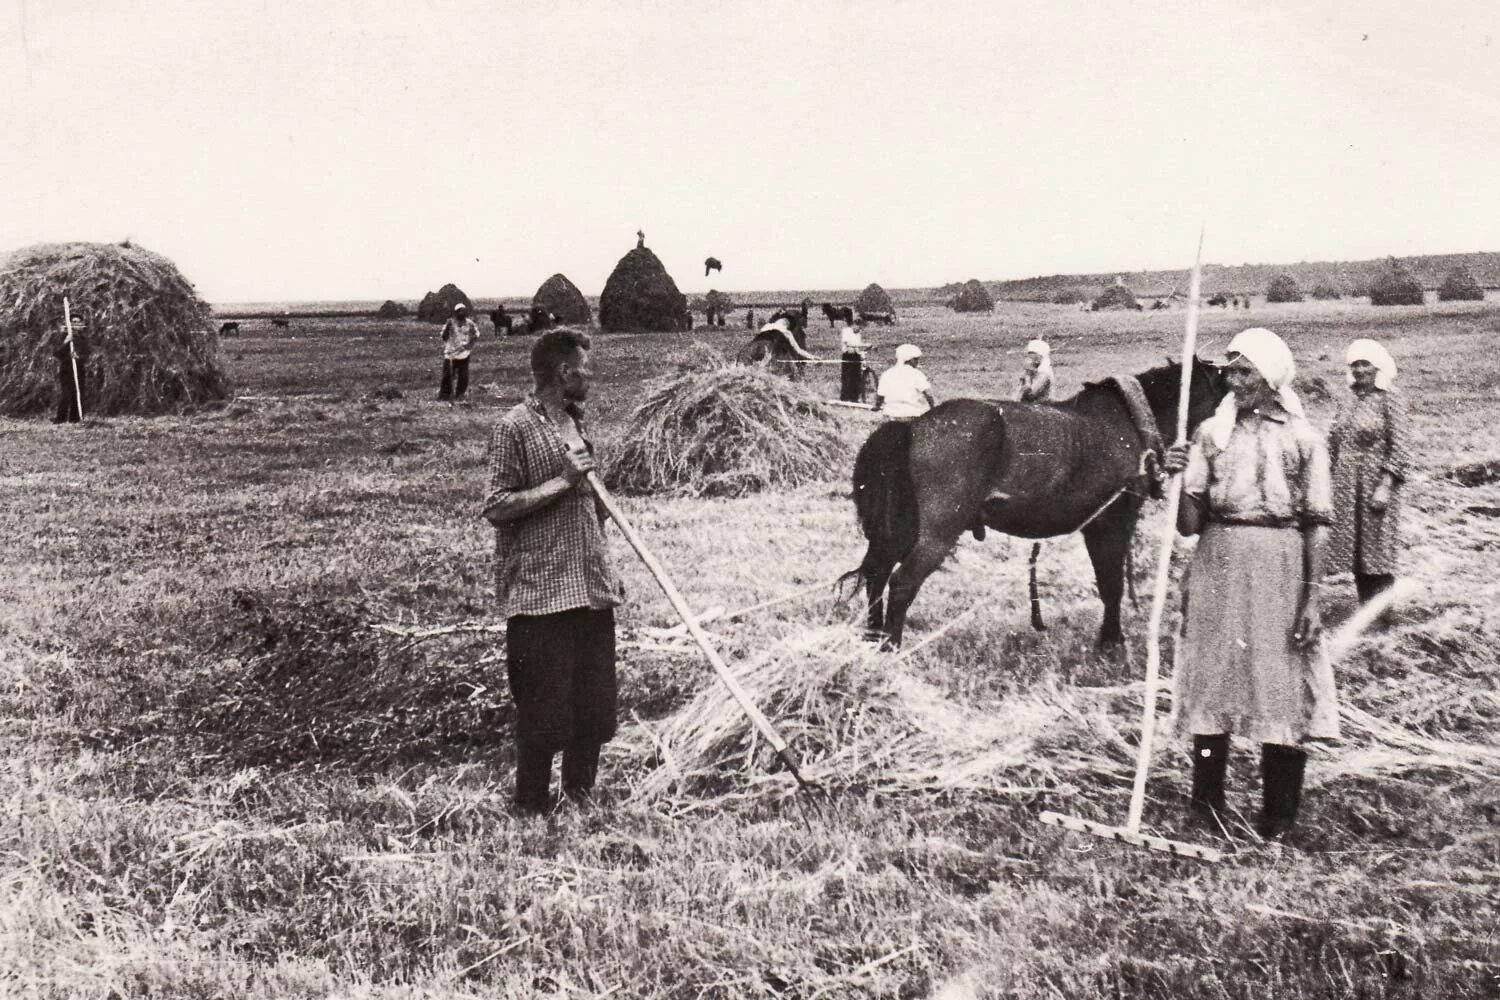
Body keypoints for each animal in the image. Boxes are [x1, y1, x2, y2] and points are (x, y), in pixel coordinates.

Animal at [840, 359, 1224, 650]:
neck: (1128, 422)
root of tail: (913, 428)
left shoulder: (1096, 526)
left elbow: (1106, 583)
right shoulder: (1112, 522)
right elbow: (1112, 584)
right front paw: (1112, 643)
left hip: (901, 529)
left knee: (877, 574)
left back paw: (873, 638)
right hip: (938, 533)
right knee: (901, 583)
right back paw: (891, 648)